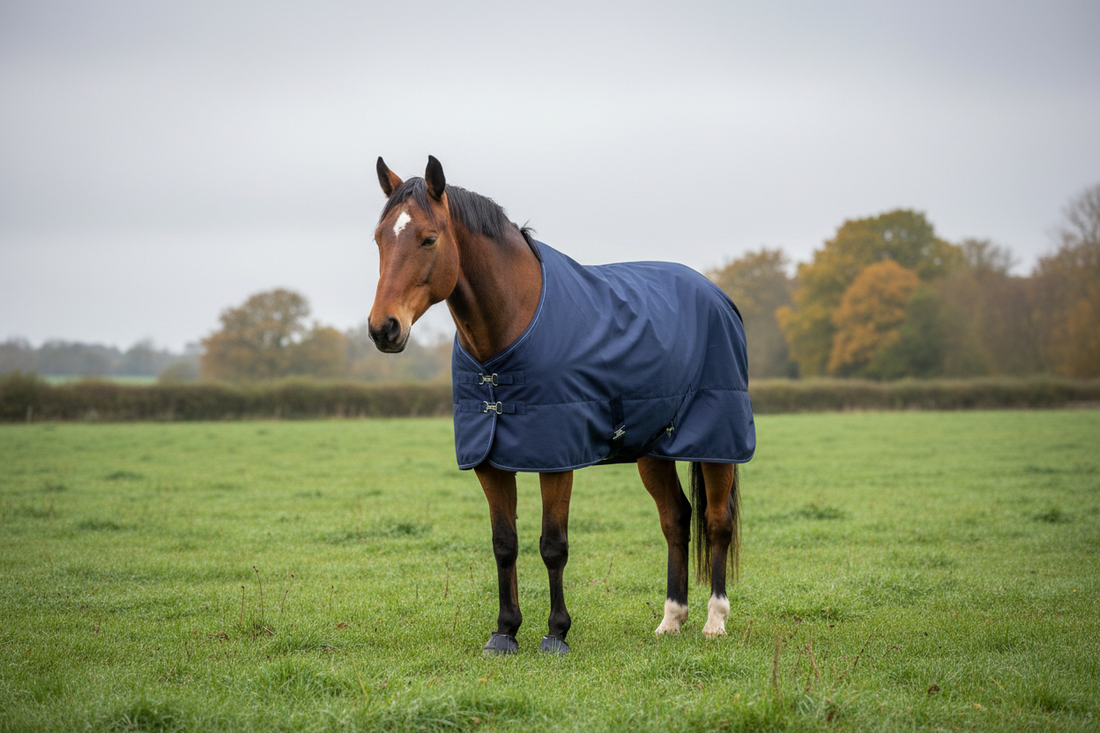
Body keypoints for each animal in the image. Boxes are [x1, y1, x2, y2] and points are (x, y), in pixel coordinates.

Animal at [368, 156, 755, 655]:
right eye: (379, 238)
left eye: (429, 238)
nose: (383, 328)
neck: (509, 331)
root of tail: (719, 296)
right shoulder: (489, 460)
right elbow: (504, 543)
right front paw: (505, 631)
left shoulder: (556, 458)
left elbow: (553, 545)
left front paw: (556, 632)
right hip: (653, 449)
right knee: (676, 520)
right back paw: (672, 619)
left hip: (717, 441)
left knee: (716, 520)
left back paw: (714, 620)